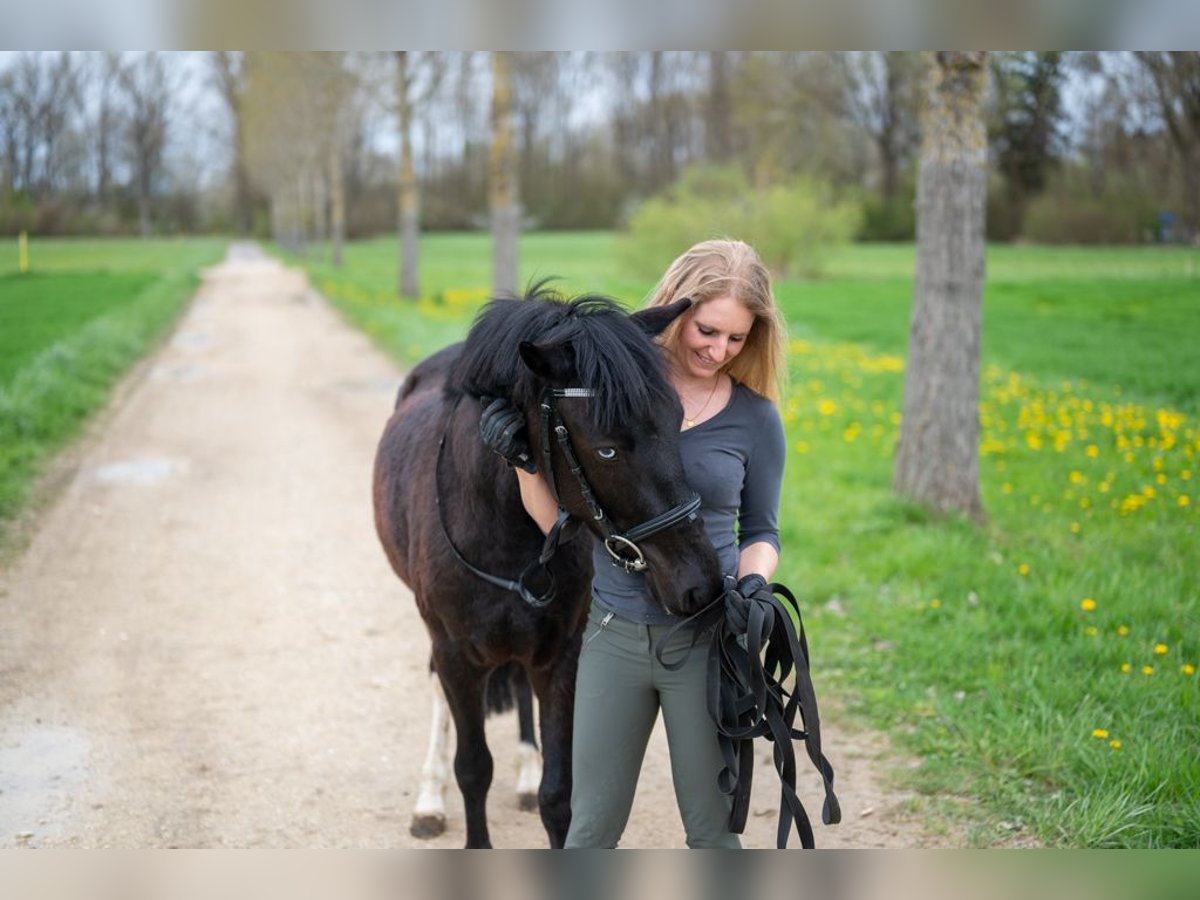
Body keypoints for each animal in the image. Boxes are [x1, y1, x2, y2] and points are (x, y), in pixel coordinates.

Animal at [372, 286, 720, 844]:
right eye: (606, 449)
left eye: (676, 421)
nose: (699, 582)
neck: (503, 528)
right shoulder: (456, 657)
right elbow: (473, 770)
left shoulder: (560, 654)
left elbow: (559, 795)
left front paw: (538, 781)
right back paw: (429, 799)